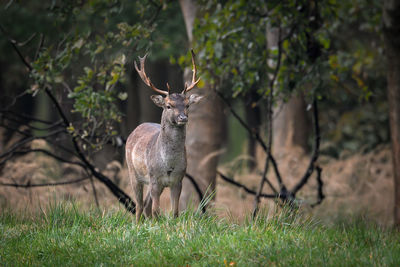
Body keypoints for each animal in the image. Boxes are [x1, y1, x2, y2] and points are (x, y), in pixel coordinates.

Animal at [126, 50, 203, 224]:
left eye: (187, 105)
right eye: (169, 106)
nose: (183, 117)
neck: (168, 165)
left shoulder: (178, 179)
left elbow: (175, 212)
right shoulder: (155, 178)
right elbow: (156, 211)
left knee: (146, 204)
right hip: (134, 173)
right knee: (139, 205)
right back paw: (137, 225)